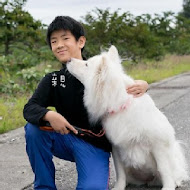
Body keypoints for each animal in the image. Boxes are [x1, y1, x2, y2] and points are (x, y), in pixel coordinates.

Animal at [66, 45, 188, 190]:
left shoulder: (158, 144)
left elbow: (163, 169)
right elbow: (120, 173)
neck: (121, 105)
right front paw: (119, 187)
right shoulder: (116, 147)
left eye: (86, 64)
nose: (68, 59)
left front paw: (168, 187)